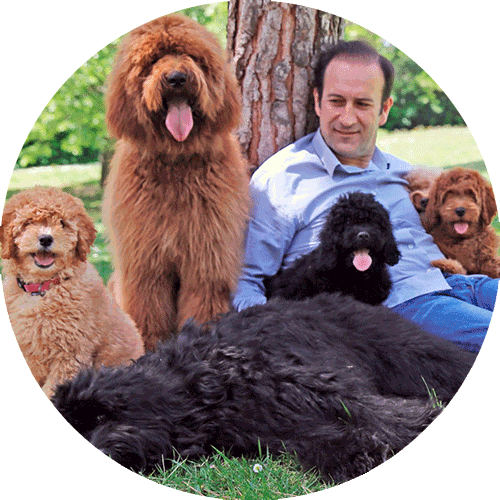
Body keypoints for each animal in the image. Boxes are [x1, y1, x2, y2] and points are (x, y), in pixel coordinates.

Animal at [52, 292, 474, 484]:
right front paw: (359, 453)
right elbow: (325, 441)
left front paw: (420, 425)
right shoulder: (278, 430)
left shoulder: (320, 386)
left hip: (408, 351)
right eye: (77, 427)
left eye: (100, 416)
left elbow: (382, 413)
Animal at [102, 13, 249, 350]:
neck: (176, 163)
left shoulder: (207, 259)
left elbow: (202, 307)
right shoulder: (144, 264)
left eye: (192, 56)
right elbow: (147, 315)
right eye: (153, 59)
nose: (177, 78)